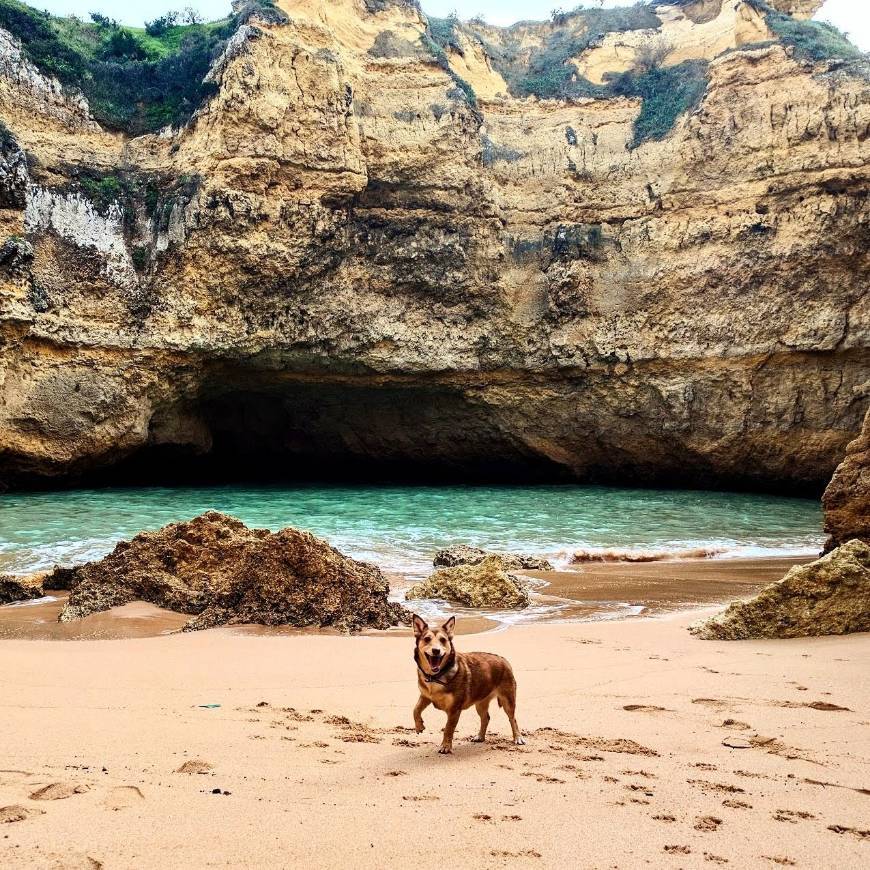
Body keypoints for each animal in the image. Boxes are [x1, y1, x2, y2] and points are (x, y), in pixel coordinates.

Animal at [414, 612, 528, 756]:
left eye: (443, 640)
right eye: (427, 639)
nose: (436, 651)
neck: (435, 677)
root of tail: (503, 659)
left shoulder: (454, 710)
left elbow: (448, 729)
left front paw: (445, 746)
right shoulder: (425, 696)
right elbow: (415, 709)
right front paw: (419, 726)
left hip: (508, 700)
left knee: (512, 719)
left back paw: (518, 737)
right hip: (480, 702)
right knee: (486, 718)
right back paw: (480, 736)